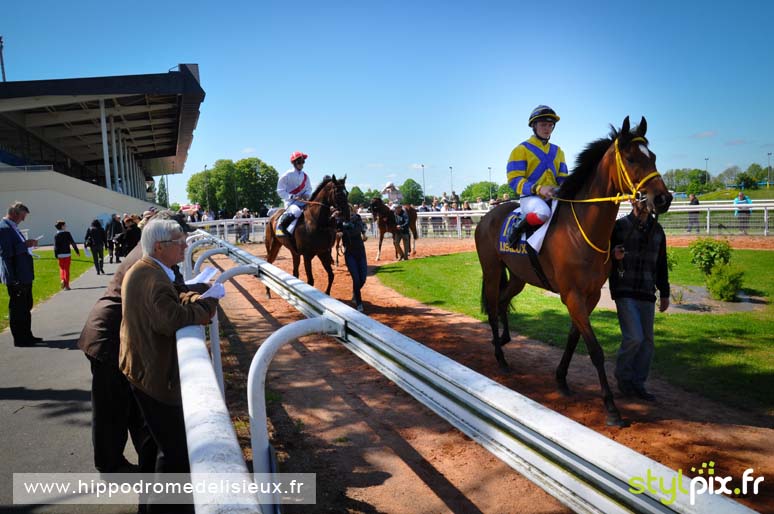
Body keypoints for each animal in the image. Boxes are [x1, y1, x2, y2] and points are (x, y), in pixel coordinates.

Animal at [476, 117, 668, 424]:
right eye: (631, 158)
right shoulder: (572, 295)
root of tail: (487, 217)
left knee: (504, 302)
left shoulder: (589, 295)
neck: (581, 231)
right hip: (492, 270)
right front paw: (611, 407)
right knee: (493, 307)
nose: (663, 198)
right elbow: (595, 350)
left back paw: (505, 340)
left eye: (653, 157)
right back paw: (500, 358)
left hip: (518, 277)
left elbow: (573, 338)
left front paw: (561, 379)